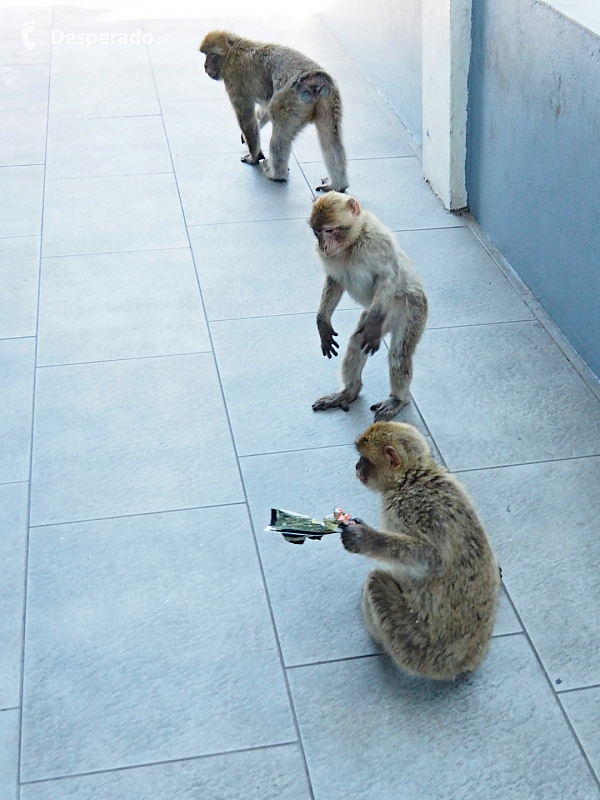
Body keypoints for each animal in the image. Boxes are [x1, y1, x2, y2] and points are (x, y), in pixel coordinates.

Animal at [198, 31, 346, 195]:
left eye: (211, 54)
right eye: (205, 54)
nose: (205, 66)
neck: (233, 50)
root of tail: (313, 82)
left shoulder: (234, 77)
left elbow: (247, 118)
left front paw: (254, 157)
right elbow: (266, 107)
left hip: (289, 101)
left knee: (279, 137)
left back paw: (276, 174)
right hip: (330, 101)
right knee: (330, 138)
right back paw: (337, 185)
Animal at [310, 191, 426, 422]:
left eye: (329, 230)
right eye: (317, 232)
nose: (324, 246)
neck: (351, 244)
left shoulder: (376, 242)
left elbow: (388, 275)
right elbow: (335, 281)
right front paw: (322, 322)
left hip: (410, 310)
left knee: (399, 354)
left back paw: (398, 399)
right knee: (356, 342)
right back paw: (349, 391)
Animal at [340, 422, 500, 680]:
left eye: (364, 460)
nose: (356, 467)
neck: (410, 478)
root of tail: (468, 661)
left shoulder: (410, 507)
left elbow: (432, 558)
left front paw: (365, 538)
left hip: (414, 646)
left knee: (376, 580)